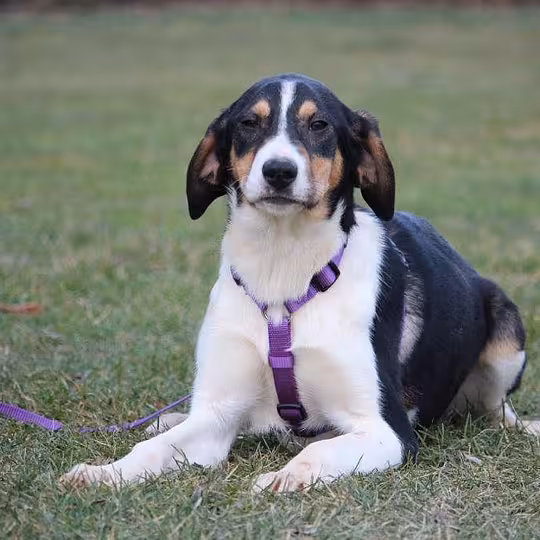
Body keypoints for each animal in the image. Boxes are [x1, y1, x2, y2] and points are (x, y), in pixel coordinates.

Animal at [61, 73, 539, 492]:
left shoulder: (387, 430)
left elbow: (317, 452)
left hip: (506, 331)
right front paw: (103, 473)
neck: (282, 269)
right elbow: (152, 448)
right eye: (249, 123)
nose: (278, 171)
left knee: (498, 411)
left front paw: (283, 478)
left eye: (319, 125)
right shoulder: (215, 416)